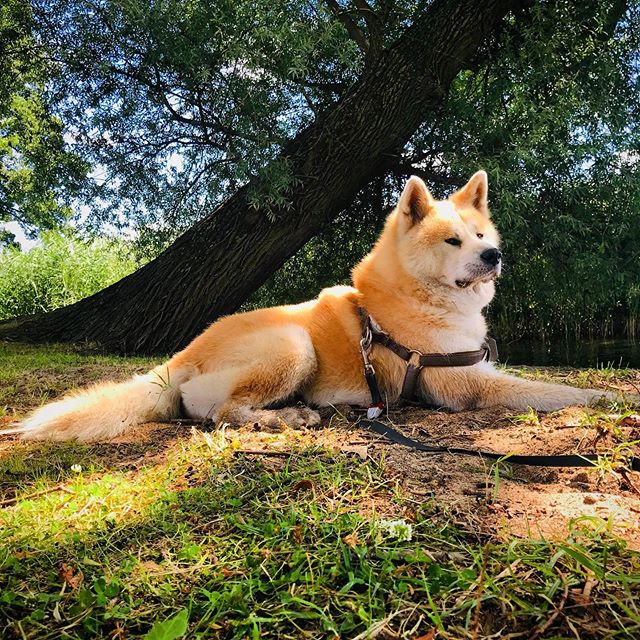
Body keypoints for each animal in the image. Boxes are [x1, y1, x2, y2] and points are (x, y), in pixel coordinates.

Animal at [6, 170, 624, 440]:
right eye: (452, 241)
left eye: (479, 234)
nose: (493, 256)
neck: (415, 297)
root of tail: (180, 357)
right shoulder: (464, 384)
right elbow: (553, 391)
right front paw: (607, 397)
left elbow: (540, 379)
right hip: (291, 342)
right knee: (221, 414)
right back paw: (286, 417)